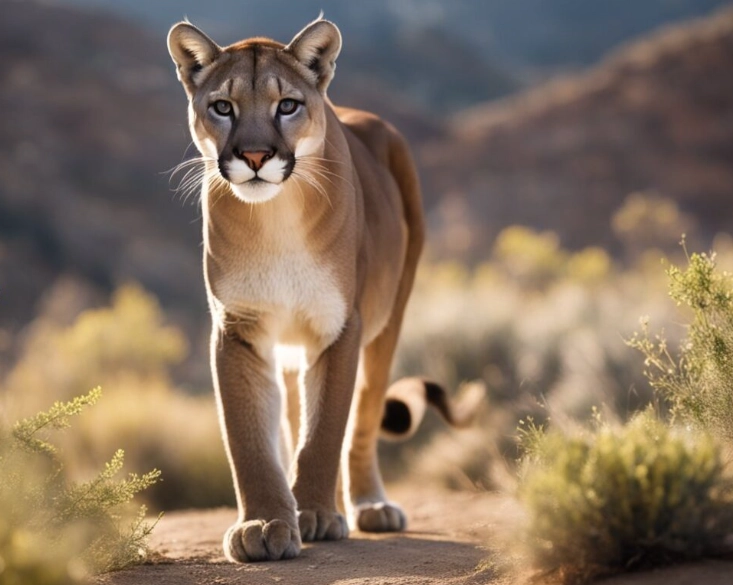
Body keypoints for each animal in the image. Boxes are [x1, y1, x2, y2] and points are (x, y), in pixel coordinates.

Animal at [167, 16, 481, 562]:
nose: (255, 156)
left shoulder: (339, 327)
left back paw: (367, 507)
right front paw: (264, 523)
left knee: (362, 417)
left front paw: (313, 513)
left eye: (287, 105)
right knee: (298, 418)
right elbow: (251, 438)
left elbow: (327, 429)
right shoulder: (239, 329)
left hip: (387, 321)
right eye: (223, 107)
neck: (275, 218)